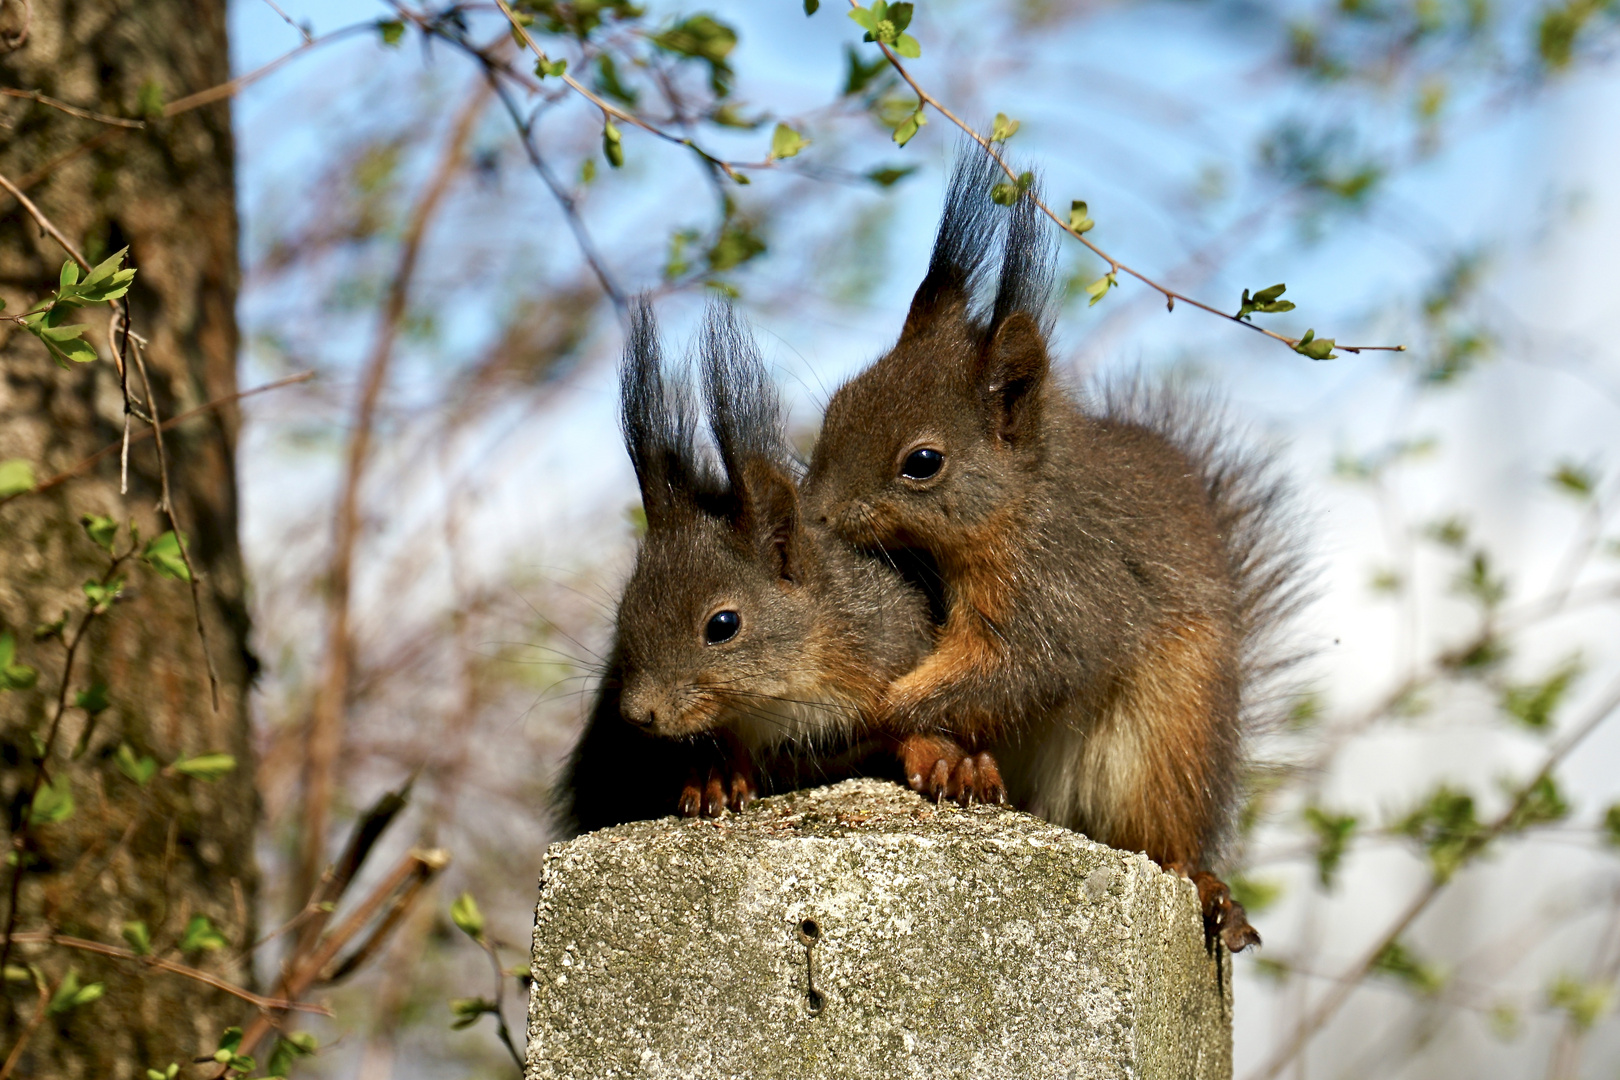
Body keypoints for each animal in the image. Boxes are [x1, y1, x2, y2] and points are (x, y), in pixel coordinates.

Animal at [557, 299, 939, 835]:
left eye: (723, 625)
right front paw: (712, 775)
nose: (636, 715)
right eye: (623, 613)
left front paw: (949, 758)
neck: (782, 695)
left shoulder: (895, 646)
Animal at [803, 153, 1308, 952]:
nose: (815, 513)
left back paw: (1204, 883)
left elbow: (1021, 669)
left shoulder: (1059, 589)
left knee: (1166, 832)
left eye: (923, 462)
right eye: (839, 406)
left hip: (1170, 741)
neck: (1019, 502)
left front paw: (876, 707)